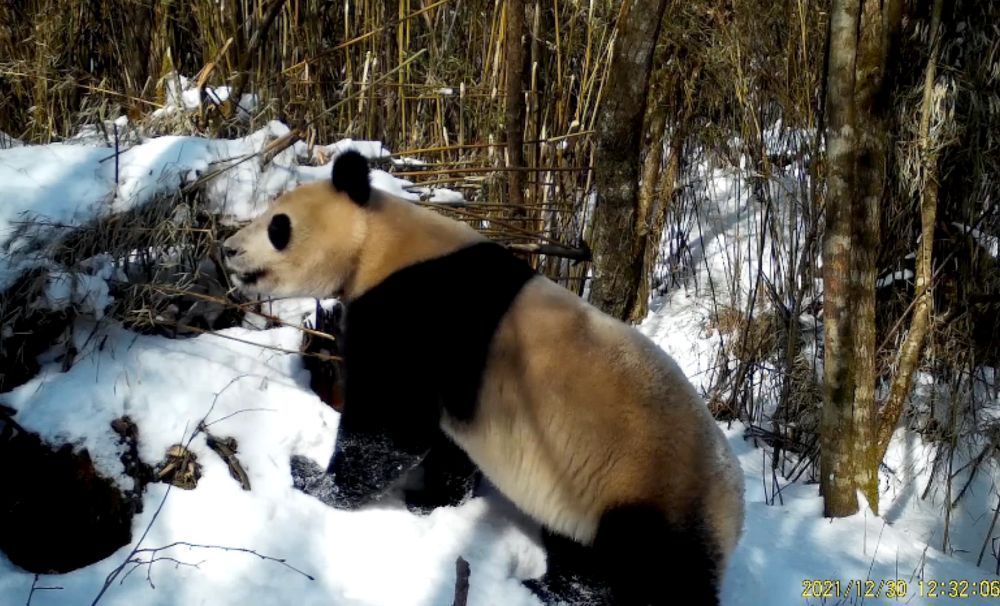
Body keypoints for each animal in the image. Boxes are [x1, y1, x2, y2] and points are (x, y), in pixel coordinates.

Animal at [223, 150, 748, 604]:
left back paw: (550, 591)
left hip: (646, 490)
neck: (380, 241)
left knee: (638, 575)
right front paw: (430, 500)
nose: (228, 249)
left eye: (278, 226)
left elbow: (391, 427)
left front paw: (313, 479)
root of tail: (732, 512)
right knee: (577, 551)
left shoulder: (417, 315)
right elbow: (443, 442)